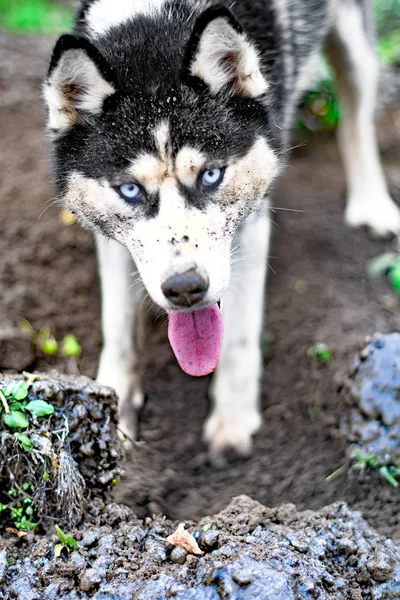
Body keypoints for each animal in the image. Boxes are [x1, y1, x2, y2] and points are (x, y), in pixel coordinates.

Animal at [43, 0, 400, 454]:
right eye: (130, 189)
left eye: (211, 175)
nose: (184, 288)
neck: (155, 20)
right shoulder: (110, 238)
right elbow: (118, 329)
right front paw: (112, 415)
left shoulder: (252, 222)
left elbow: (239, 336)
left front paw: (233, 421)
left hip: (352, 40)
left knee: (356, 112)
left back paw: (371, 202)